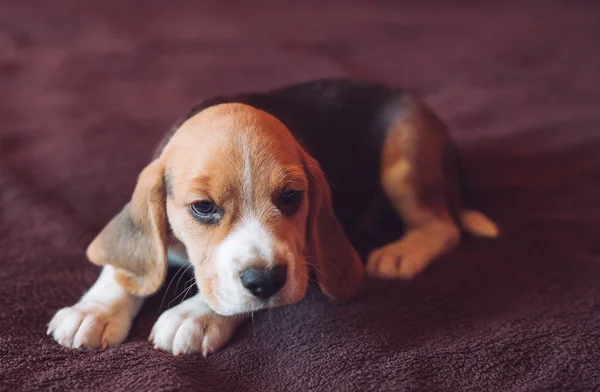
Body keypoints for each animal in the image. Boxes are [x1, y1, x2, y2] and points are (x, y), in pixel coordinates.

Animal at [45, 79, 496, 356]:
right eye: (203, 207)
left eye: (292, 197)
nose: (264, 280)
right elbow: (126, 266)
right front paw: (94, 312)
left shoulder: (300, 260)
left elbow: (228, 295)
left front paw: (194, 315)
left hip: (403, 157)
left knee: (444, 227)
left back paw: (401, 254)